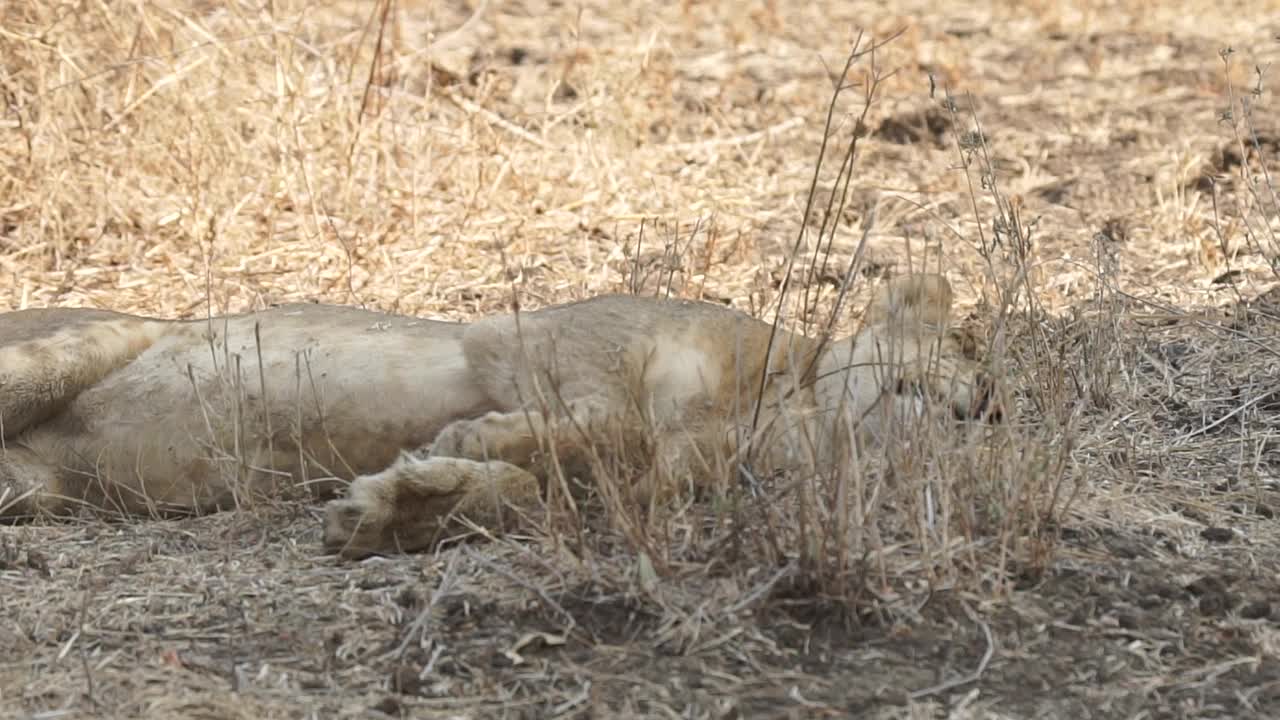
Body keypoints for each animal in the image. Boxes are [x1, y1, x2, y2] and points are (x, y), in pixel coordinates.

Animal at [0, 271, 998, 558]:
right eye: (922, 388)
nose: (965, 416)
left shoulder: (627, 490)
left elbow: (521, 491)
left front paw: (394, 510)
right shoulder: (523, 341)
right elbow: (614, 422)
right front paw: (465, 441)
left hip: (36, 489)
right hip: (66, 349)